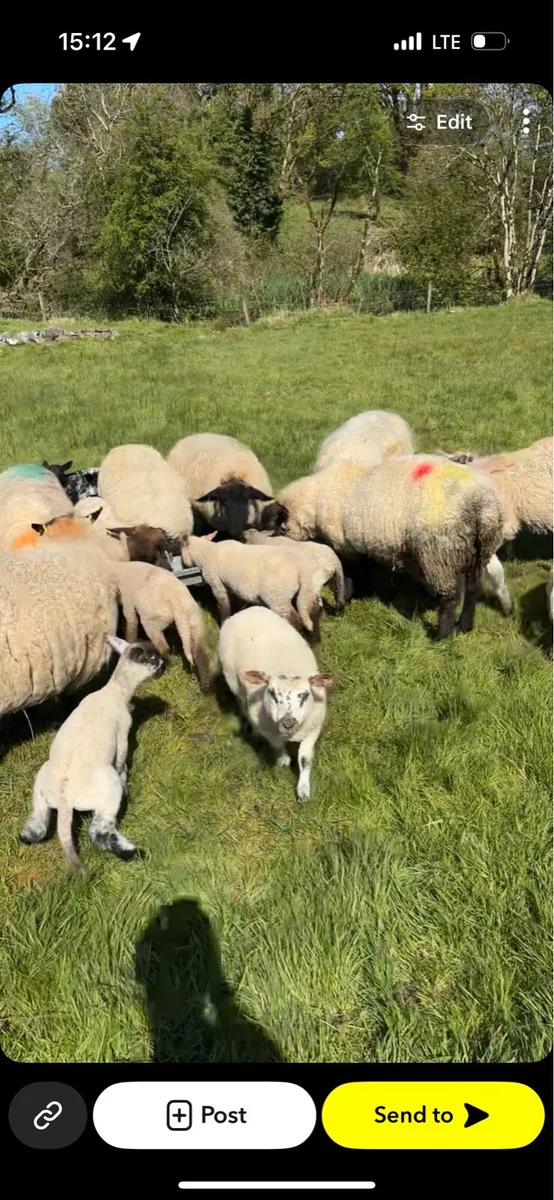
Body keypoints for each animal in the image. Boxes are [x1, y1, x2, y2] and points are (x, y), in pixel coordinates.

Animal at [20, 636, 167, 873]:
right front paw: (127, 784)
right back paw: (133, 853)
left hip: (40, 788)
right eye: (154, 659)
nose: (166, 664)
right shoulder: (123, 736)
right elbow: (122, 764)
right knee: (98, 832)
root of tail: (65, 800)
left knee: (38, 820)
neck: (114, 691)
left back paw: (27, 837)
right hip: (107, 789)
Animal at [115, 561, 211, 691]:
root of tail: (177, 602)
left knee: (163, 647)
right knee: (200, 654)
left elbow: (131, 625)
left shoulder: (128, 604)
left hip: (152, 621)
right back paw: (205, 688)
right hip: (194, 622)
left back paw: (163, 670)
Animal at [181, 533, 325, 638]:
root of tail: (301, 568)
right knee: (312, 612)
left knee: (296, 622)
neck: (207, 553)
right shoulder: (230, 586)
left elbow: (224, 607)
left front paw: (223, 624)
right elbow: (234, 603)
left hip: (277, 598)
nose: (183, 563)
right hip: (304, 592)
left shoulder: (217, 585)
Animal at [218, 606, 334, 801]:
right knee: (242, 703)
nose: (288, 723)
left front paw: (303, 791)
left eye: (304, 695)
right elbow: (277, 746)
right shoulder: (268, 730)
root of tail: (247, 610)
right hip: (232, 681)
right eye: (271, 693)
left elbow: (305, 759)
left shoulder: (313, 729)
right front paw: (283, 761)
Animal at [262, 454, 504, 639]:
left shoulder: (345, 545)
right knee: (472, 591)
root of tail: (481, 507)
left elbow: (348, 574)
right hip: (477, 551)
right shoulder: (360, 543)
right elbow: (362, 570)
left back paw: (441, 637)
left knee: (449, 598)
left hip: (438, 553)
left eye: (277, 523)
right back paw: (464, 627)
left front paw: (343, 603)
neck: (318, 499)